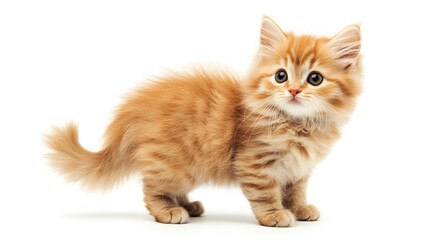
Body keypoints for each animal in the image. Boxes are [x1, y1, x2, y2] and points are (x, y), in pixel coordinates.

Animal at [46, 16, 362, 227]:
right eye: (281, 76)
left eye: (315, 78)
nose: (294, 91)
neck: (298, 125)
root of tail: (135, 108)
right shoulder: (254, 163)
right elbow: (265, 193)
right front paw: (274, 215)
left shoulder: (298, 171)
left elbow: (295, 192)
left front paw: (299, 209)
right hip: (172, 162)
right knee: (151, 189)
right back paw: (168, 211)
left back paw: (188, 204)